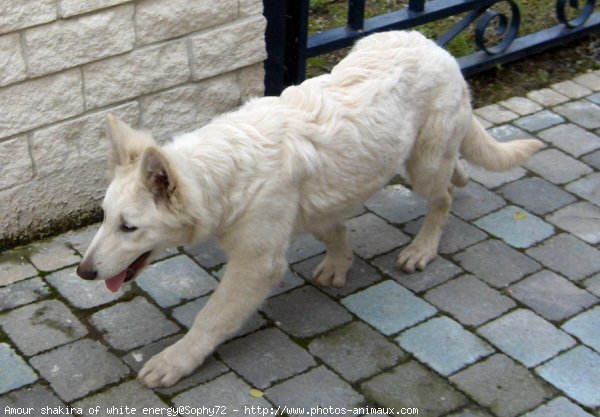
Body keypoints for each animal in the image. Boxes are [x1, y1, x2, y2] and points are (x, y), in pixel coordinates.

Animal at [76, 30, 544, 386]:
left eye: (129, 227)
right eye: (105, 217)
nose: (83, 273)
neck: (226, 173)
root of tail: (436, 46)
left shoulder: (256, 265)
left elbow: (211, 319)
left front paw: (176, 360)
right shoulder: (317, 205)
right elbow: (333, 230)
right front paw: (339, 264)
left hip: (422, 166)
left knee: (441, 197)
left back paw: (423, 248)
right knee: (456, 170)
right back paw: (460, 176)